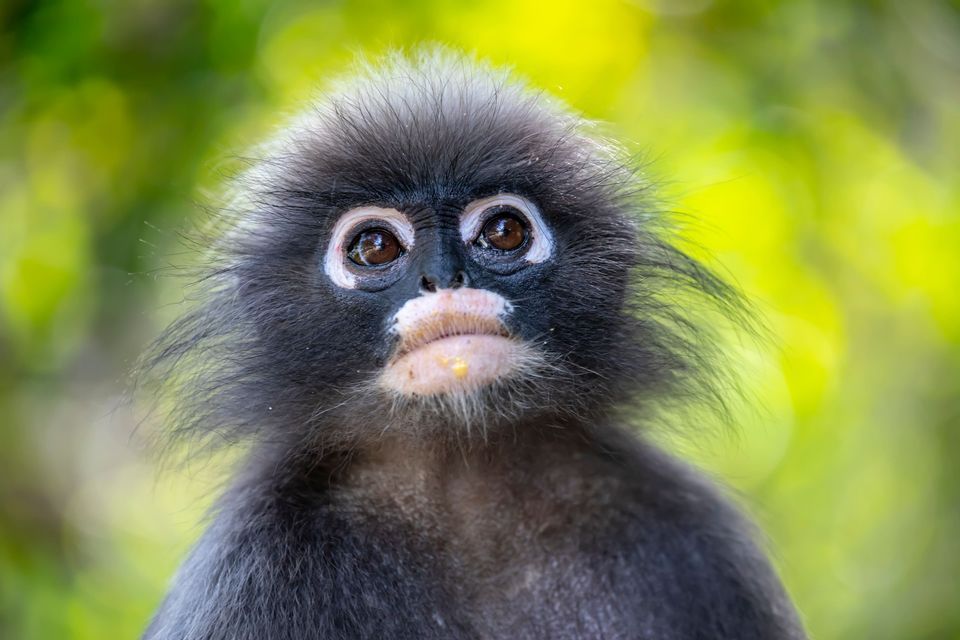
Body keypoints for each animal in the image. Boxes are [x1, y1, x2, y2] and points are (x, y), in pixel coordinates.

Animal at [140, 50, 806, 640]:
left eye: (505, 231)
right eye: (375, 246)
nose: (445, 277)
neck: (466, 485)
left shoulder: (704, 540)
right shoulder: (247, 568)